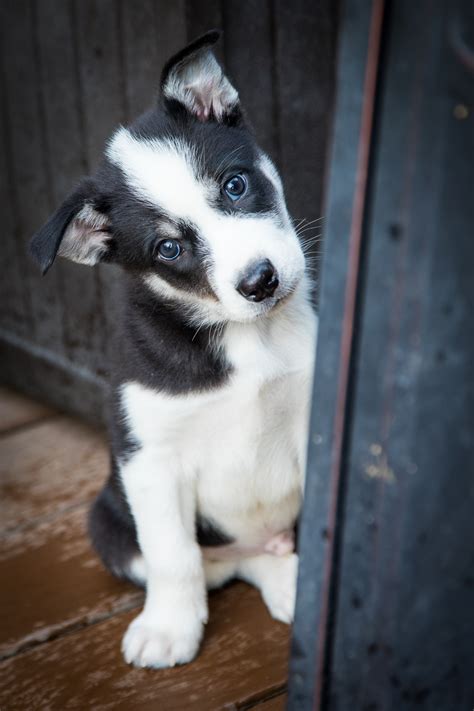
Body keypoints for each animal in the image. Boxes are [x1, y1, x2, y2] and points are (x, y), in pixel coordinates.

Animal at [30, 30, 318, 672]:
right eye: (169, 248)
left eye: (236, 185)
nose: (260, 282)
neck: (245, 337)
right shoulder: (150, 457)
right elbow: (173, 556)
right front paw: (169, 628)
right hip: (108, 524)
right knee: (222, 563)